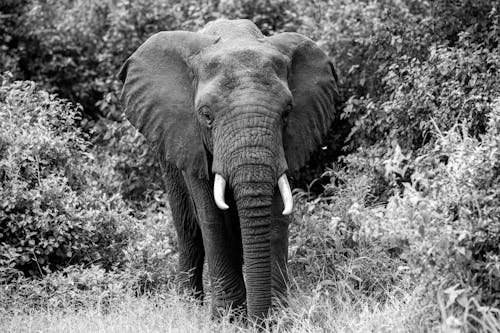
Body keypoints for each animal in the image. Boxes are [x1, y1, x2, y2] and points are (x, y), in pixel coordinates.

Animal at [118, 18, 340, 320]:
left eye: (286, 113)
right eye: (206, 115)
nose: (259, 321)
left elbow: (277, 212)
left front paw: (278, 316)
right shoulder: (191, 141)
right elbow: (211, 217)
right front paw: (228, 318)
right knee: (188, 230)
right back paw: (188, 306)